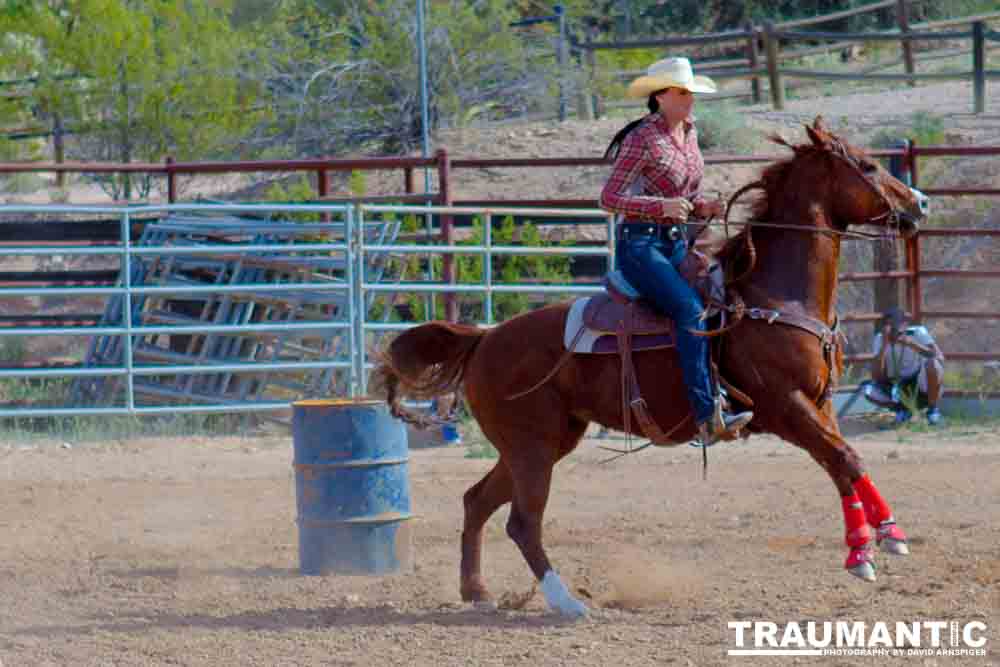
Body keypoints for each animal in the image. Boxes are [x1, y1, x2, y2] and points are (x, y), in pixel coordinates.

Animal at [374, 117, 928, 620]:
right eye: (868, 165)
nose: (919, 204)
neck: (772, 295)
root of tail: (486, 338)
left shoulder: (820, 404)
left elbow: (844, 463)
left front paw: (881, 538)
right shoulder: (786, 407)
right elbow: (844, 460)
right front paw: (870, 550)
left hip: (542, 442)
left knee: (476, 501)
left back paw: (477, 591)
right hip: (531, 446)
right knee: (522, 522)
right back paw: (567, 602)